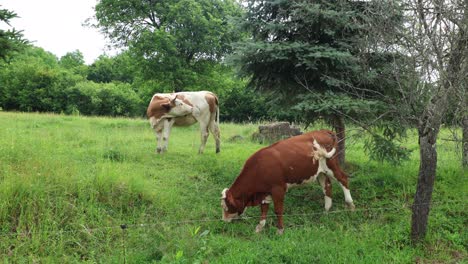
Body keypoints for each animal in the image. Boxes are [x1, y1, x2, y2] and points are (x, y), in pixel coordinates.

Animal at [219, 129, 354, 234]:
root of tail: (323, 131)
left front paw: (280, 230)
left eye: (226, 207)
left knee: (343, 179)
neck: (260, 167)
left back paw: (351, 206)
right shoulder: (264, 192)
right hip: (320, 172)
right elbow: (264, 209)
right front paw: (259, 228)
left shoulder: (278, 189)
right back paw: (326, 211)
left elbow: (278, 210)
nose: (224, 221)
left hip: (332, 164)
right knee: (327, 187)